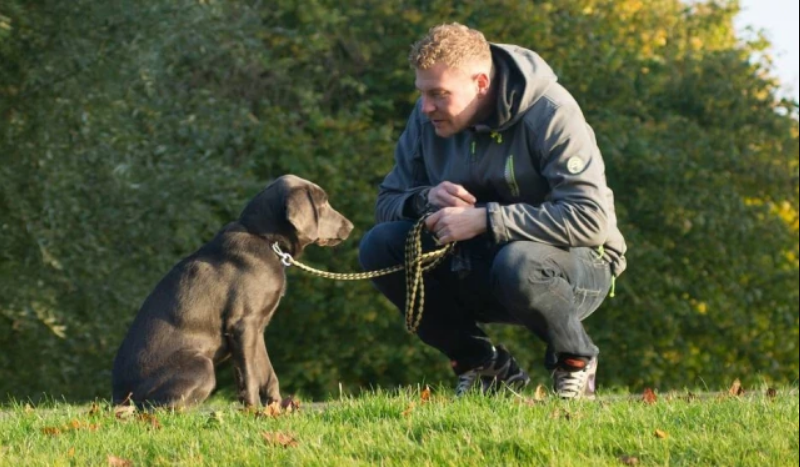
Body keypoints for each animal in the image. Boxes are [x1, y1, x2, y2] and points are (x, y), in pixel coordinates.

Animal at [112, 176, 354, 410]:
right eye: (322, 203)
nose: (350, 226)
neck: (265, 239)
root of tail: (117, 398)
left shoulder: (258, 329)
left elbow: (268, 375)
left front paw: (276, 409)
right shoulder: (243, 324)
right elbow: (249, 376)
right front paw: (254, 412)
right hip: (202, 366)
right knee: (156, 407)